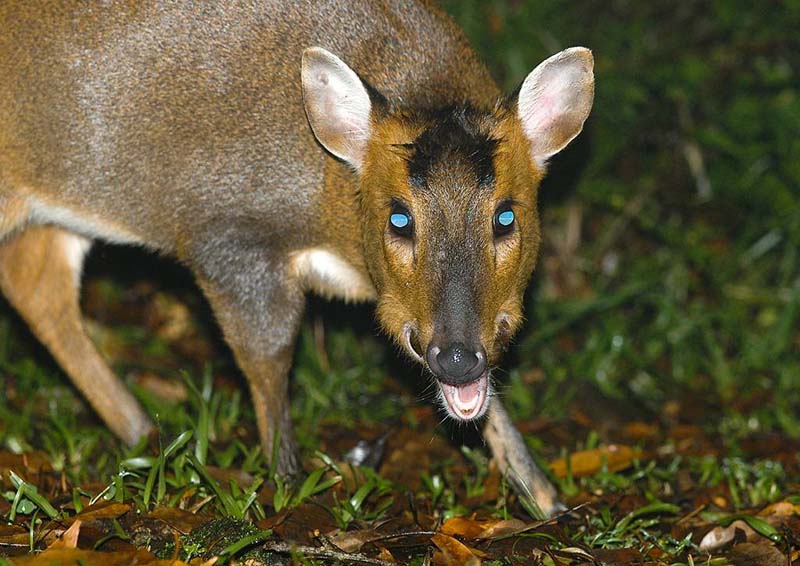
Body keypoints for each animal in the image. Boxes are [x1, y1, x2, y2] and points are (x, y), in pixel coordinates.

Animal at [1, 0, 592, 516]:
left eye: (506, 217)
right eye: (399, 219)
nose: (456, 356)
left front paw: (546, 498)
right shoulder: (227, 232)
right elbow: (269, 355)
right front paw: (284, 486)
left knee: (36, 284)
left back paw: (144, 433)